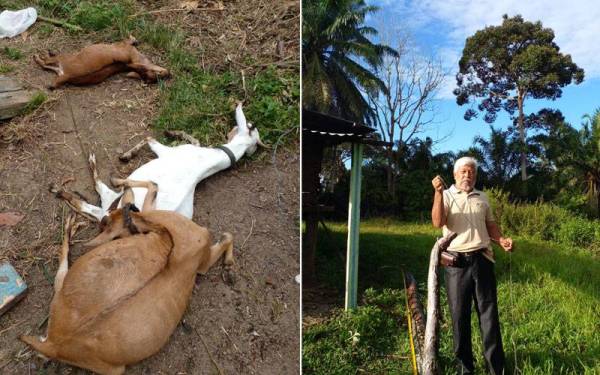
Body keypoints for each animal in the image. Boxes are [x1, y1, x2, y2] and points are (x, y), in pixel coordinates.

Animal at [20, 181, 232, 374]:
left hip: (61, 293)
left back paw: (70, 221)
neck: (166, 242)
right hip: (114, 369)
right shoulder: (202, 260)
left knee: (62, 262)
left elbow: (152, 186)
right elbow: (228, 236)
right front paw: (229, 266)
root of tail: (54, 343)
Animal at [34, 36, 170, 90]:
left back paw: (40, 55)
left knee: (45, 62)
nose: (169, 74)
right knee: (45, 64)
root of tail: (66, 75)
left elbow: (129, 40)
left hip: (61, 59)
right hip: (59, 65)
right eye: (157, 75)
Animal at [51, 102, 268, 220]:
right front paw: (171, 132)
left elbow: (149, 138)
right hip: (107, 201)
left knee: (91, 193)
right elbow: (190, 139)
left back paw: (60, 187)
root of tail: (110, 214)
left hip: (111, 198)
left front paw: (127, 154)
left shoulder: (168, 151)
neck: (215, 158)